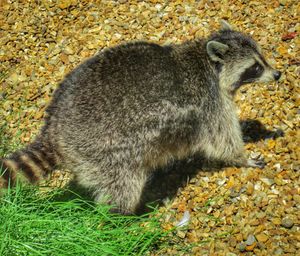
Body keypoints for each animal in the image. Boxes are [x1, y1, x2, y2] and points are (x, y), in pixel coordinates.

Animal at [0, 19, 282, 212]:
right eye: (255, 67)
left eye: (262, 57)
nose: (277, 74)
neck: (206, 60)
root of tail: (54, 128)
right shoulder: (209, 103)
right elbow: (222, 140)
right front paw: (242, 158)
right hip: (105, 153)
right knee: (123, 186)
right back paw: (118, 215)